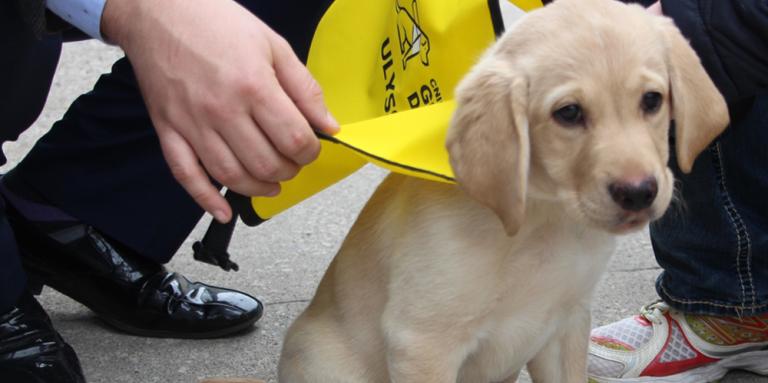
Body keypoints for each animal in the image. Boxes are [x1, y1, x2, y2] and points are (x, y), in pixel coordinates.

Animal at [276, 0, 728, 383]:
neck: (543, 220)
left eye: (652, 100)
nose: (638, 193)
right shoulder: (422, 342)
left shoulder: (566, 323)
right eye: (568, 113)